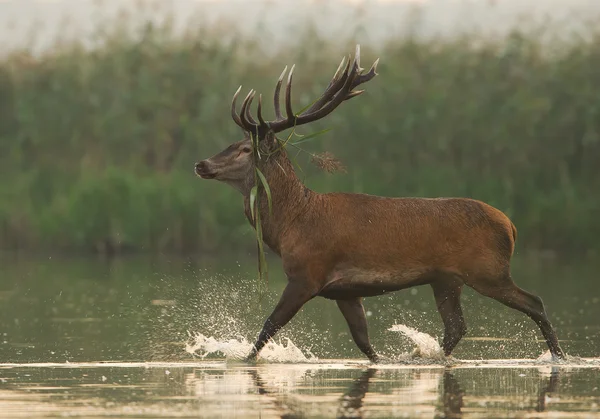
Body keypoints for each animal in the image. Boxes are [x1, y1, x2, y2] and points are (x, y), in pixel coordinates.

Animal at [195, 44, 564, 362]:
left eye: (245, 149)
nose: (201, 164)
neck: (290, 225)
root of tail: (511, 225)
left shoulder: (307, 275)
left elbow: (268, 327)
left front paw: (244, 360)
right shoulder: (344, 290)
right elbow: (364, 343)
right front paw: (387, 360)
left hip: (487, 270)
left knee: (535, 302)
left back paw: (558, 356)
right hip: (447, 279)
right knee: (456, 327)